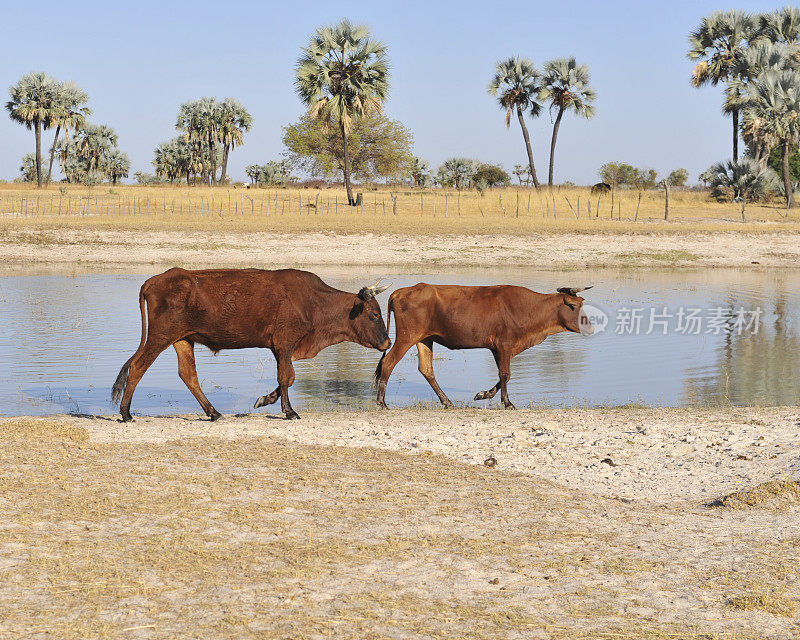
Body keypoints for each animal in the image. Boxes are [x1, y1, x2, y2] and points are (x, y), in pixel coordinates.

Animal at [111, 268, 392, 422]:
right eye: (373, 315)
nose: (388, 341)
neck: (311, 301)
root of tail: (156, 279)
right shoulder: (284, 344)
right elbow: (285, 378)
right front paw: (289, 411)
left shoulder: (281, 349)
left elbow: (287, 378)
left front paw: (265, 399)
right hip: (160, 337)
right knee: (138, 367)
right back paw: (126, 413)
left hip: (182, 339)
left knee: (188, 374)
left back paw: (213, 412)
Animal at [372, 284, 592, 410]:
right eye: (574, 306)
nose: (589, 327)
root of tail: (401, 291)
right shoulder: (504, 343)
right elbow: (505, 374)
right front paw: (507, 402)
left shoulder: (497, 348)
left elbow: (503, 375)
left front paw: (484, 394)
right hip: (407, 337)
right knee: (389, 362)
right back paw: (382, 402)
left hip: (424, 339)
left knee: (426, 369)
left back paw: (447, 401)